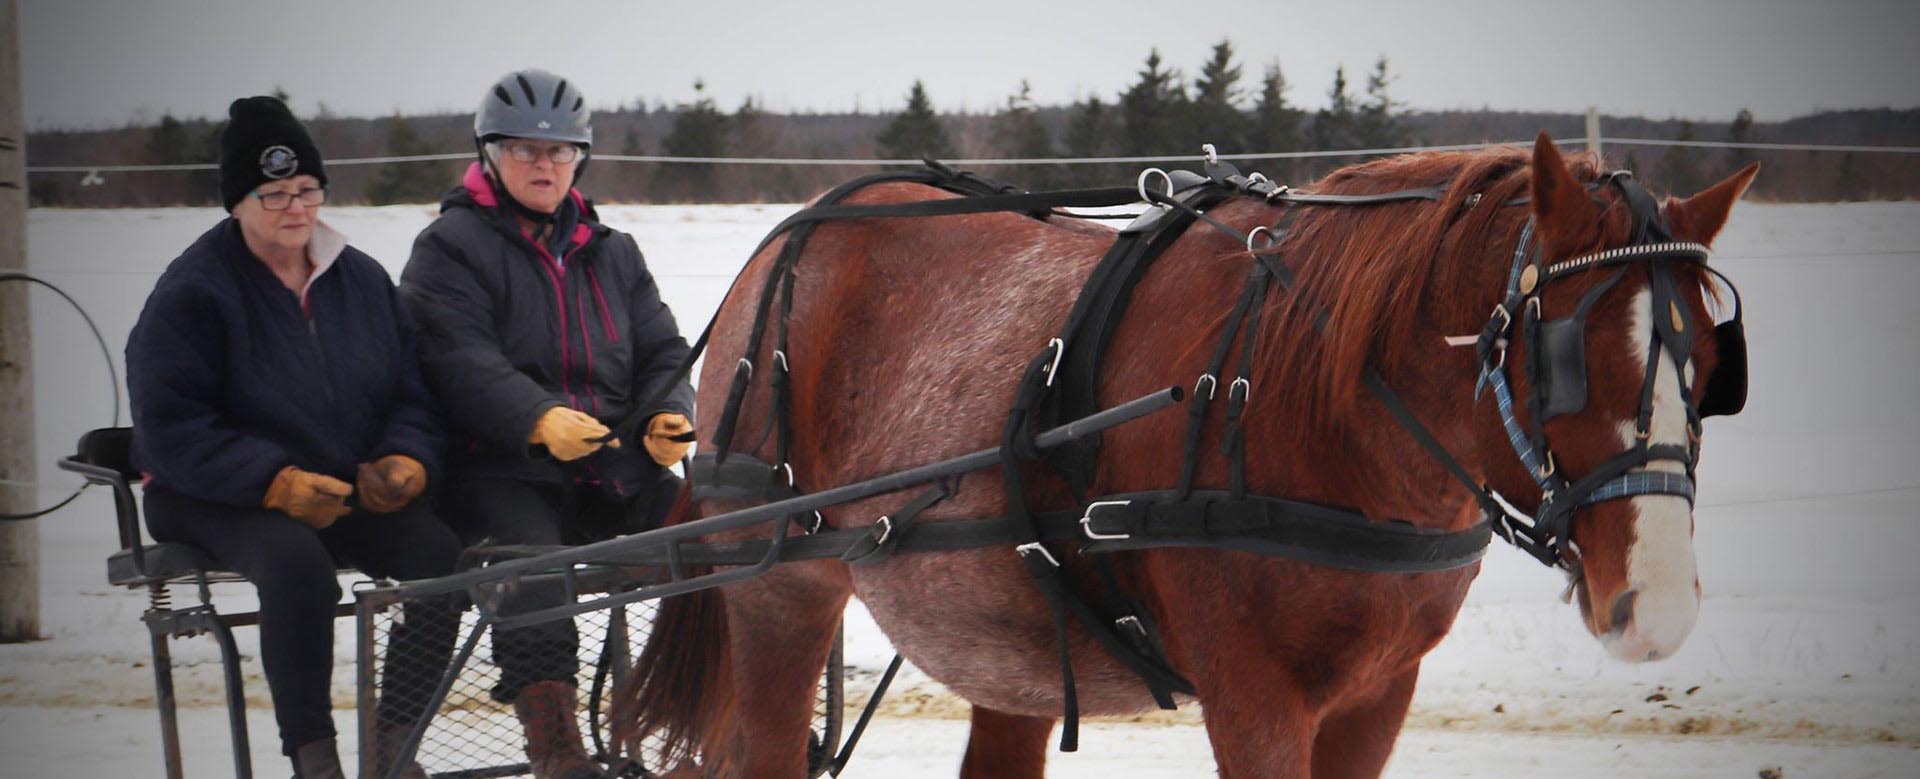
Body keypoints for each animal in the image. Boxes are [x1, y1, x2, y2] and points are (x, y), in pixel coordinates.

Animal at [610, 137, 1758, 775]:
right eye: (1561, 360)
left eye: (1710, 366)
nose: (1657, 609)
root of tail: (791, 234)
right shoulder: (1255, 694)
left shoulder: (1377, 696)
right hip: (780, 585)